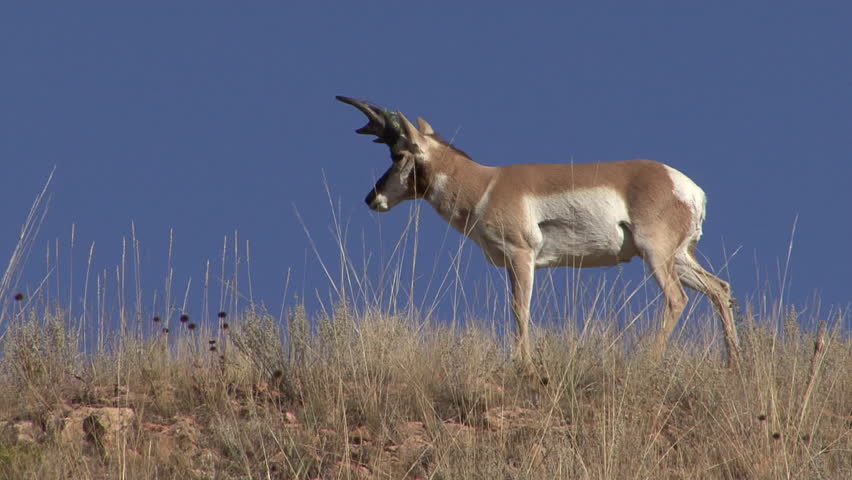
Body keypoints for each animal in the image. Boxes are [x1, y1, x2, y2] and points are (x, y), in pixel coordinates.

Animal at [337, 95, 741, 373]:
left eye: (398, 154)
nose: (371, 198)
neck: (485, 183)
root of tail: (688, 188)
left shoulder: (522, 256)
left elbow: (520, 309)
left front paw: (525, 366)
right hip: (679, 258)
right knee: (719, 289)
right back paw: (734, 364)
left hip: (656, 254)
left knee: (677, 299)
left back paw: (649, 361)